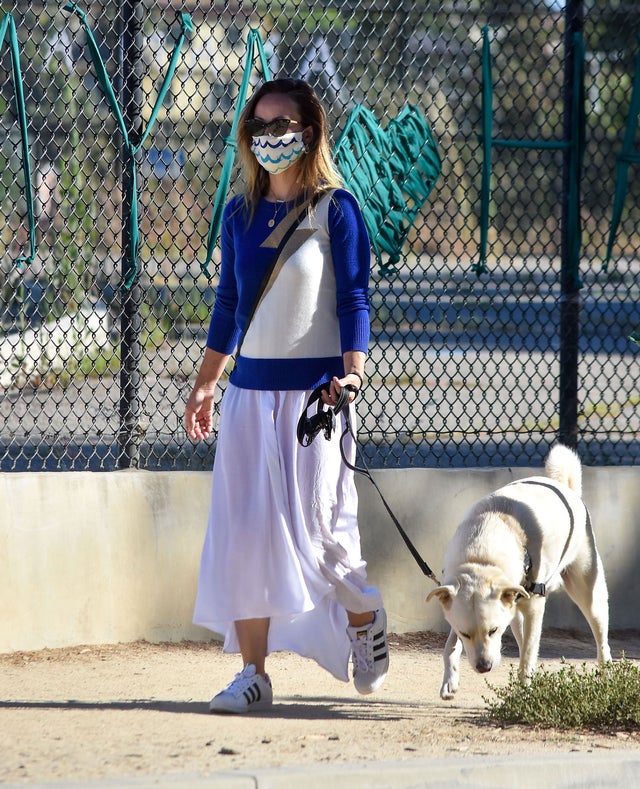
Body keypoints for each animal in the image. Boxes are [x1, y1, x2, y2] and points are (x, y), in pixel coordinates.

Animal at [428, 446, 612, 700]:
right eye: (465, 633)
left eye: (493, 630)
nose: (484, 667)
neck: (481, 558)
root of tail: (565, 487)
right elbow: (449, 646)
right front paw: (450, 680)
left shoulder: (534, 606)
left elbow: (527, 654)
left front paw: (525, 691)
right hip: (515, 613)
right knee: (522, 635)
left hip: (589, 595)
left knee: (602, 642)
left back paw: (607, 679)